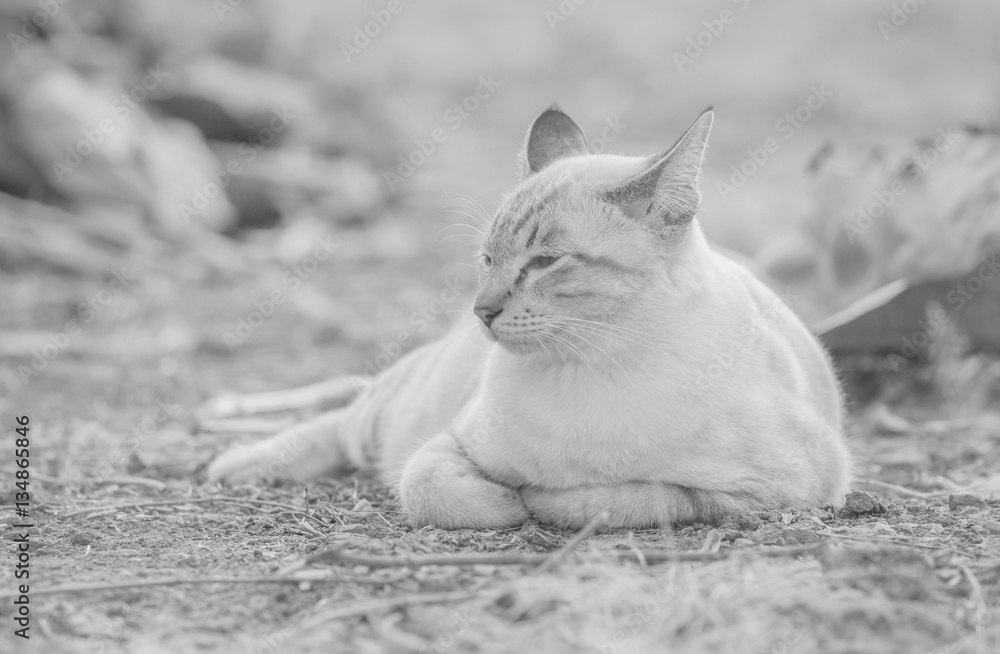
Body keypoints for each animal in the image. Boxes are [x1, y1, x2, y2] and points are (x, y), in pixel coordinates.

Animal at [209, 105, 852, 532]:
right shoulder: (444, 445)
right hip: (396, 407)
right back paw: (237, 465)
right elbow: (438, 491)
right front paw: (509, 500)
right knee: (340, 420)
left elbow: (622, 499)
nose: (482, 310)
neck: (595, 366)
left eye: (544, 261)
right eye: (488, 259)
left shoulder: (780, 492)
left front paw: (541, 498)